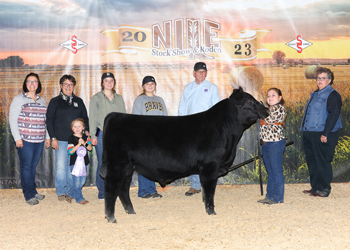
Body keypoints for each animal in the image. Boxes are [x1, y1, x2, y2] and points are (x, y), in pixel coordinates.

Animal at [100, 87, 270, 223]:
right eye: (249, 100)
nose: (267, 110)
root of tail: (114, 115)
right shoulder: (210, 165)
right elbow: (210, 190)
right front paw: (211, 211)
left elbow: (205, 190)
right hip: (117, 165)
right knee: (111, 189)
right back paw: (111, 217)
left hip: (128, 168)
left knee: (123, 190)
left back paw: (131, 211)